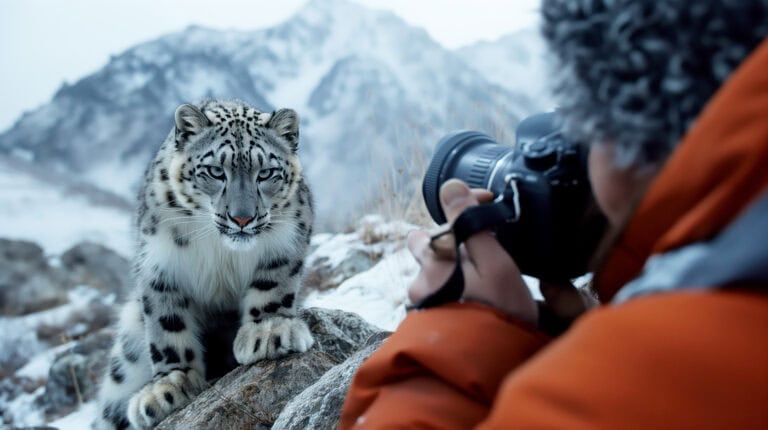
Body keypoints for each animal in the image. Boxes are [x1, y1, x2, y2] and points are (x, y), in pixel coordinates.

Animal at [92, 100, 315, 429]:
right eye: (215, 171)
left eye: (266, 173)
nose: (242, 218)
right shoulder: (159, 265)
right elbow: (167, 324)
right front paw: (170, 385)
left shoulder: (287, 238)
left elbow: (273, 284)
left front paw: (268, 331)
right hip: (125, 355)